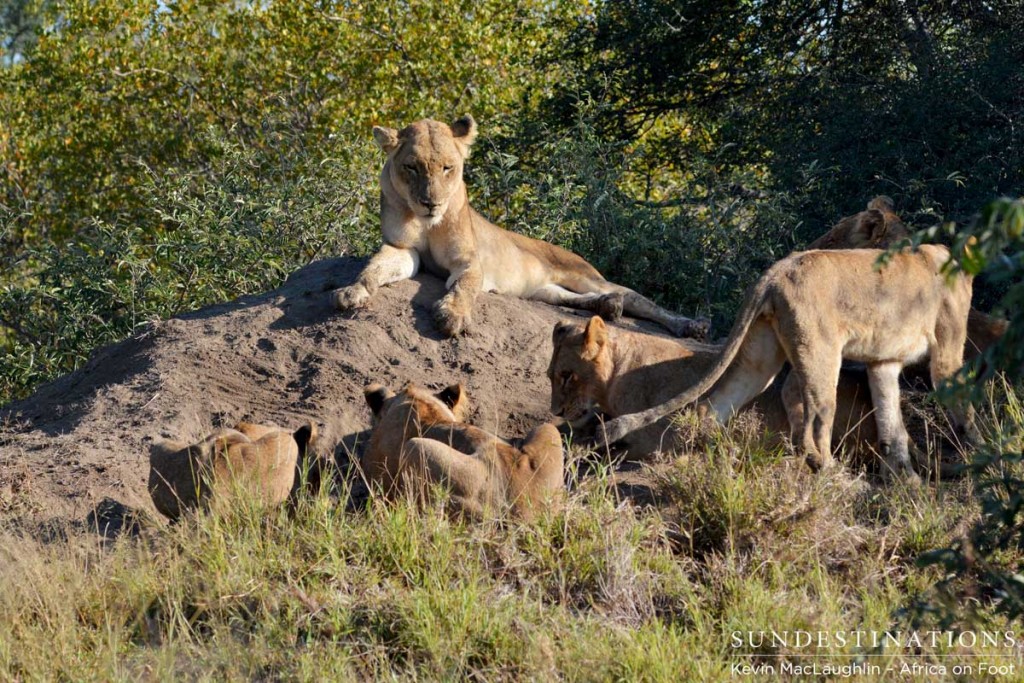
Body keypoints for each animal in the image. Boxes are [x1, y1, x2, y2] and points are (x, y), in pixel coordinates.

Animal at [331, 116, 708, 342]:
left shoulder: (469, 261)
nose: (431, 203)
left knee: (639, 300)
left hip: (585, 274)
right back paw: (608, 307)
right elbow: (375, 267)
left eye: (447, 168)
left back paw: (690, 325)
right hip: (543, 291)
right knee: (575, 299)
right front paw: (354, 291)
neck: (426, 223)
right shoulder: (403, 249)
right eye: (411, 167)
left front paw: (453, 315)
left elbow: (465, 288)